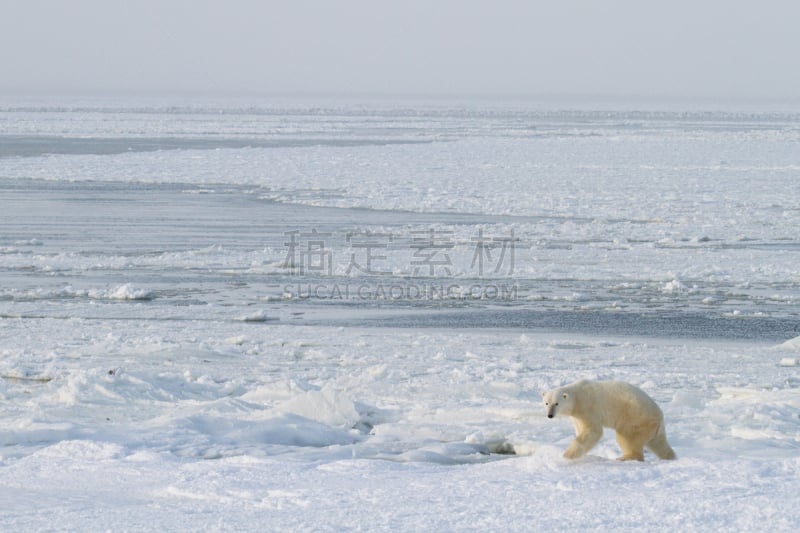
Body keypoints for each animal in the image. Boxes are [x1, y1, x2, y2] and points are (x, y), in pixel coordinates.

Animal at [540, 378, 680, 462]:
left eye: (556, 403)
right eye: (546, 403)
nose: (550, 415)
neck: (576, 397)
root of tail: (660, 416)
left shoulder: (587, 407)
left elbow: (593, 430)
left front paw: (567, 455)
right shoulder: (576, 415)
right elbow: (580, 429)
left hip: (635, 418)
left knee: (627, 438)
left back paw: (624, 457)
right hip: (651, 427)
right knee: (659, 444)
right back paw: (670, 457)